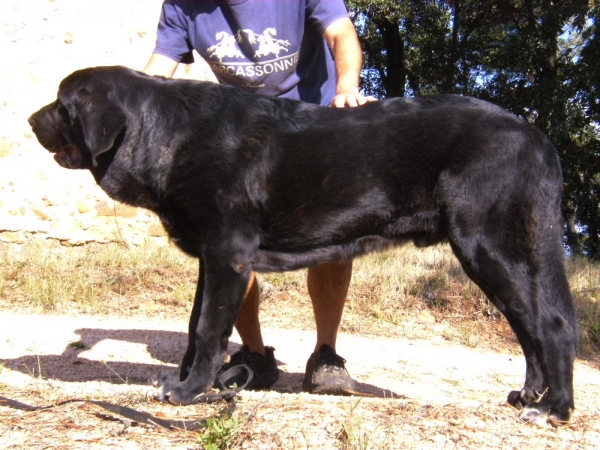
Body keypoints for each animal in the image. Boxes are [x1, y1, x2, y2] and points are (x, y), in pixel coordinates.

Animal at [29, 67, 576, 426]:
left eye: (61, 103)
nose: (32, 120)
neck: (166, 133)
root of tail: (533, 132)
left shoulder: (227, 254)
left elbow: (207, 330)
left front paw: (188, 393)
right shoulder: (213, 259)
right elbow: (193, 326)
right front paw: (196, 386)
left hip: (486, 244)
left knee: (550, 324)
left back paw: (554, 408)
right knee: (530, 327)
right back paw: (530, 395)